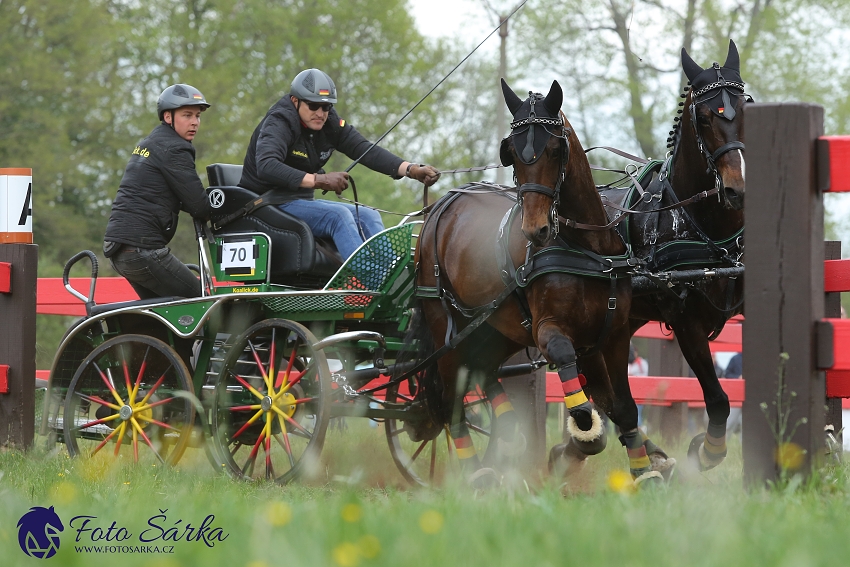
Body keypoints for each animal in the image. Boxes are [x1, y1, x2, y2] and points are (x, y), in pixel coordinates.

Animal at [406, 79, 668, 488]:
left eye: (555, 149)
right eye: (512, 153)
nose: (535, 229)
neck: (585, 248)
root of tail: (440, 207)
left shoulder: (610, 336)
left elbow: (622, 407)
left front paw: (644, 472)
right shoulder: (552, 332)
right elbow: (584, 407)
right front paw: (574, 447)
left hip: (496, 328)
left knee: (484, 370)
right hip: (446, 329)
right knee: (452, 402)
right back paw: (477, 473)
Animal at [600, 37, 744, 468]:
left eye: (744, 106)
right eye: (706, 116)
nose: (737, 190)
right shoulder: (685, 321)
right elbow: (717, 399)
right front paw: (706, 451)